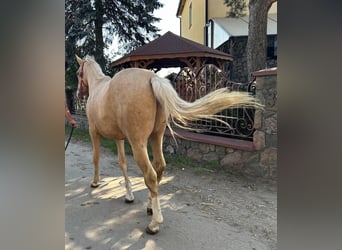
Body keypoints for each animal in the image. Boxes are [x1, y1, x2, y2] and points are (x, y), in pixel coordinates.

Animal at [75, 54, 262, 234]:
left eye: (78, 73)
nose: (78, 93)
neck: (98, 85)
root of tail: (152, 78)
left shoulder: (94, 132)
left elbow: (96, 157)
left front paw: (95, 182)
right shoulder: (119, 138)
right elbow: (123, 163)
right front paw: (129, 195)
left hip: (138, 143)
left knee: (150, 175)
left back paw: (154, 224)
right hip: (156, 137)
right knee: (159, 167)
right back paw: (150, 207)